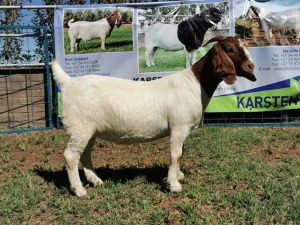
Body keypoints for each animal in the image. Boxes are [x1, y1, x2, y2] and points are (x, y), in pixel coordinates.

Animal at [51, 36, 255, 196]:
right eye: (230, 49)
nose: (251, 66)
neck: (195, 84)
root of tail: (68, 82)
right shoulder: (179, 127)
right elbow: (176, 154)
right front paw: (174, 184)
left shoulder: (181, 129)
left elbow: (181, 152)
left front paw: (178, 176)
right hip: (79, 128)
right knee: (71, 156)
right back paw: (79, 190)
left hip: (88, 130)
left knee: (85, 154)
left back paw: (96, 181)